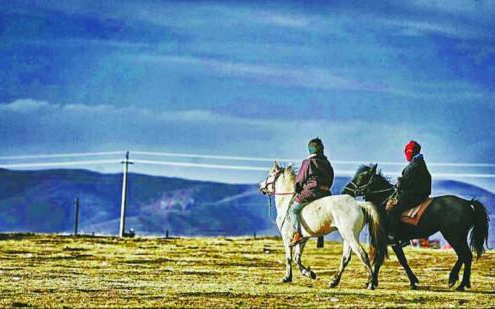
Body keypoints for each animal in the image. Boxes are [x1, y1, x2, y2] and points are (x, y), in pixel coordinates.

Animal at [260, 161, 388, 288]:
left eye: (270, 175)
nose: (261, 186)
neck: (286, 201)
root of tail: (358, 204)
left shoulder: (287, 237)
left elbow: (289, 258)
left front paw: (287, 277)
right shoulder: (303, 238)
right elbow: (297, 258)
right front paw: (309, 273)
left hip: (350, 236)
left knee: (362, 255)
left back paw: (370, 283)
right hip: (347, 237)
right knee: (346, 258)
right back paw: (334, 281)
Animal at [342, 165, 490, 290]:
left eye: (362, 177)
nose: (345, 190)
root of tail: (468, 203)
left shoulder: (388, 240)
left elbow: (387, 260)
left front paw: (372, 283)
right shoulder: (390, 242)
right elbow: (398, 260)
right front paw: (412, 282)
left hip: (453, 236)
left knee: (465, 255)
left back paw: (459, 283)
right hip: (456, 236)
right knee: (464, 256)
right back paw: (458, 281)